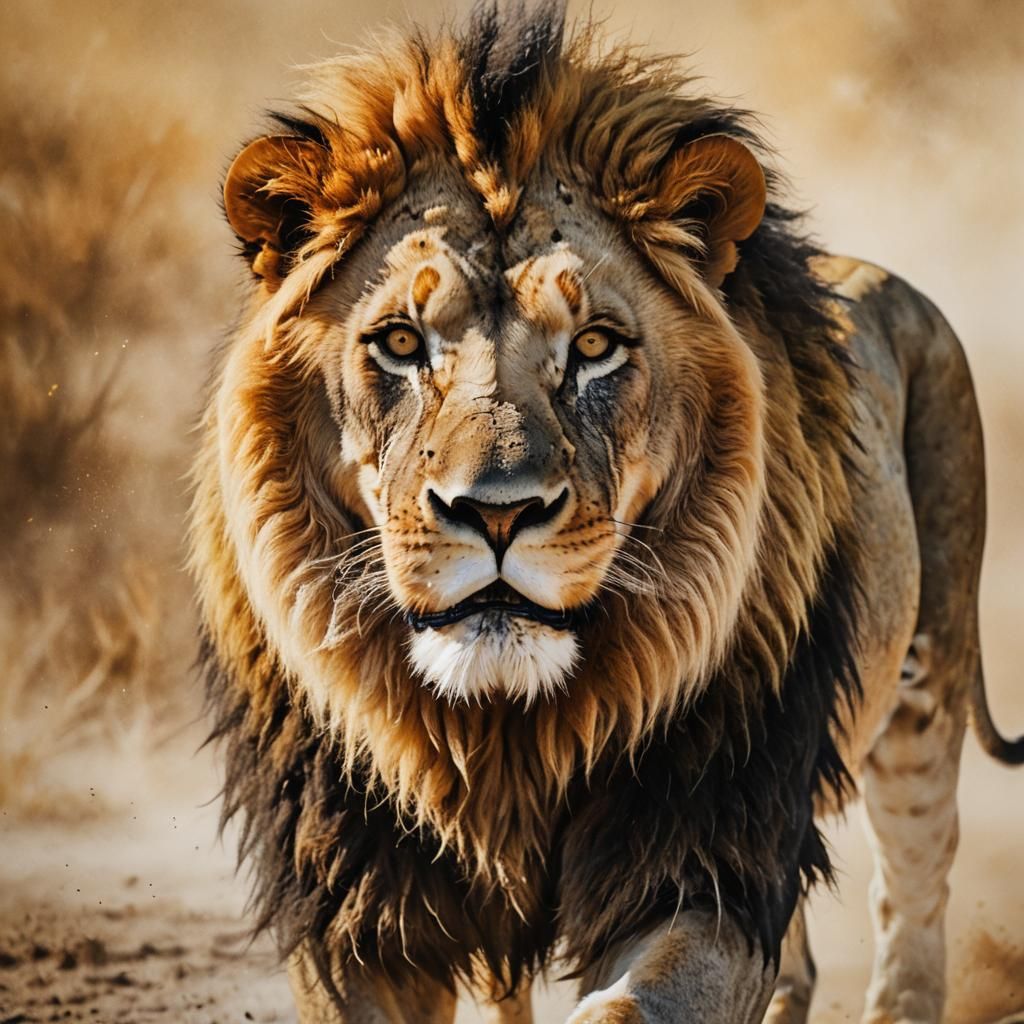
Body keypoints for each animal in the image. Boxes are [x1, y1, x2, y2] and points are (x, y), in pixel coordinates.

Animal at [191, 5, 1023, 1023]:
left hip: (926, 689)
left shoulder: (706, 857)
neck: (506, 734)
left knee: (913, 902)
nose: (496, 513)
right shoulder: (352, 898)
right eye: (399, 342)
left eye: (594, 347)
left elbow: (634, 1002)